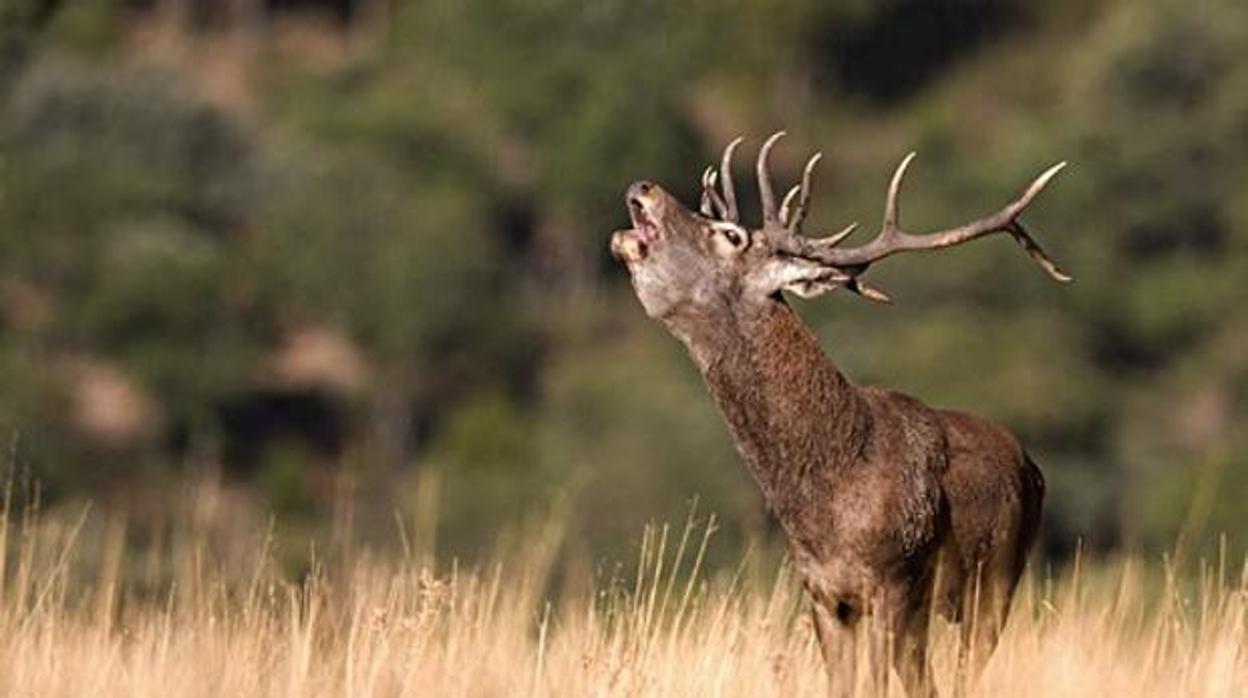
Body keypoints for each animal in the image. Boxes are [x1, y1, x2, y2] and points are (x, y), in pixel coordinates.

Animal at [609, 133, 1068, 694]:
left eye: (730, 235)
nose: (644, 184)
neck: (827, 499)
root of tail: (1034, 466)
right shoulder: (826, 596)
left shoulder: (893, 581)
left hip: (998, 580)